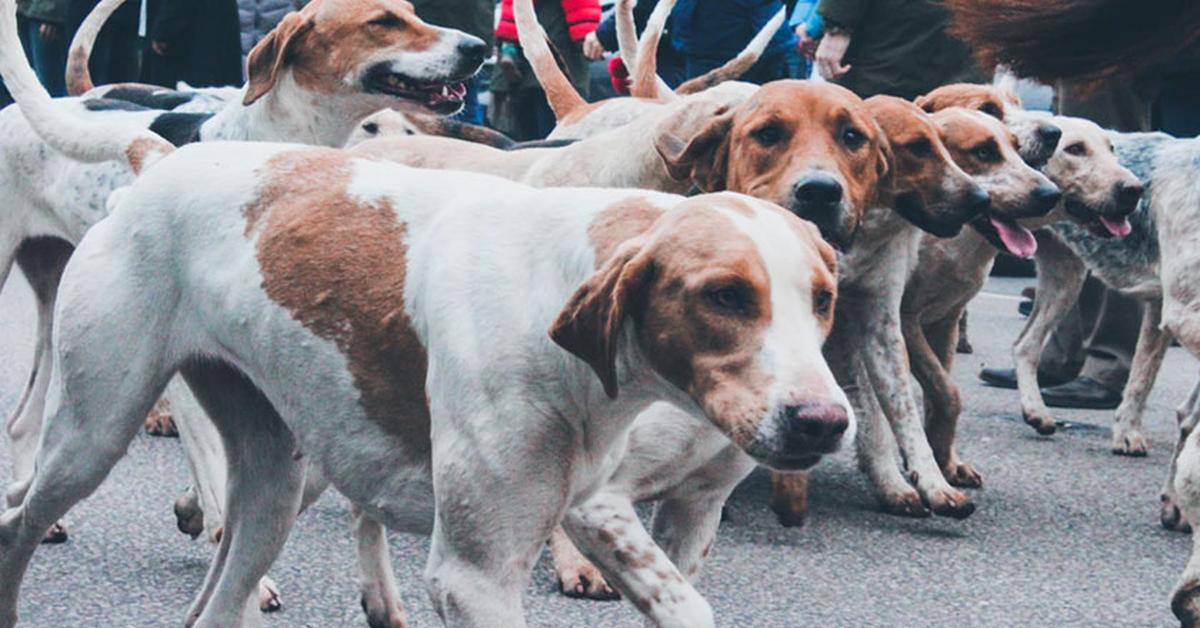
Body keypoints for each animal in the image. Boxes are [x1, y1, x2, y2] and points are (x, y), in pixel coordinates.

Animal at [902, 112, 1142, 487]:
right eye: (1075, 149)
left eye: (1112, 149)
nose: (1133, 189)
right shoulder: (904, 319)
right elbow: (946, 392)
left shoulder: (943, 321)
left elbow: (939, 393)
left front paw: (946, 460)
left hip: (1066, 279)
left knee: (1026, 344)